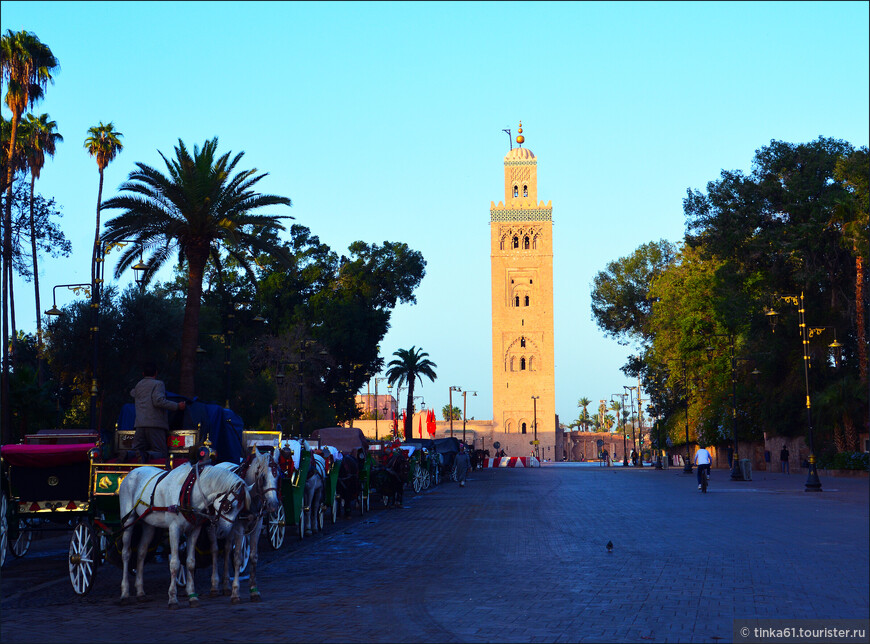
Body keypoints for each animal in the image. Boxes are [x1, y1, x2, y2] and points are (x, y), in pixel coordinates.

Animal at [118, 462, 252, 608]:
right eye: (229, 506)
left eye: (241, 509)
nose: (223, 531)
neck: (190, 490)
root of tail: (132, 471)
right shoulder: (174, 528)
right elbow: (175, 563)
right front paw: (172, 598)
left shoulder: (194, 530)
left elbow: (190, 562)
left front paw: (193, 596)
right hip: (128, 520)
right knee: (126, 553)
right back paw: (124, 594)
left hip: (149, 524)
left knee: (141, 553)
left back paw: (141, 593)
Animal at [210, 450, 282, 600]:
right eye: (263, 477)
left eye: (278, 475)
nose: (273, 505)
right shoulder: (239, 528)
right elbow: (237, 558)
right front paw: (235, 592)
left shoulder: (258, 526)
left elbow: (254, 557)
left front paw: (254, 590)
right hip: (215, 526)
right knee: (215, 550)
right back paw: (214, 586)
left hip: (227, 528)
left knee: (226, 550)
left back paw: (226, 585)